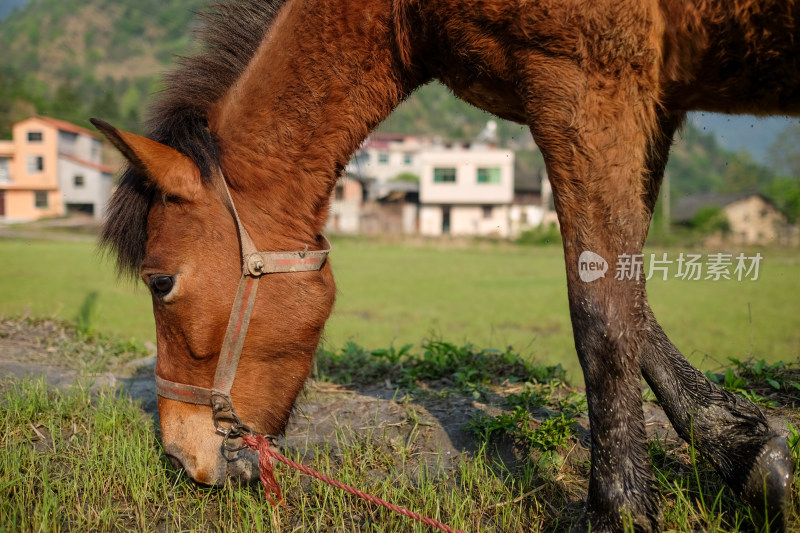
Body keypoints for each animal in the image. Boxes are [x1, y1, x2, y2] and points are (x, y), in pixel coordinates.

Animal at [92, 0, 792, 528]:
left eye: (160, 281)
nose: (178, 455)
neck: (403, 9)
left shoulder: (586, 86)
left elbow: (601, 313)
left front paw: (618, 508)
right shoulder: (646, 100)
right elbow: (630, 301)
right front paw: (739, 446)